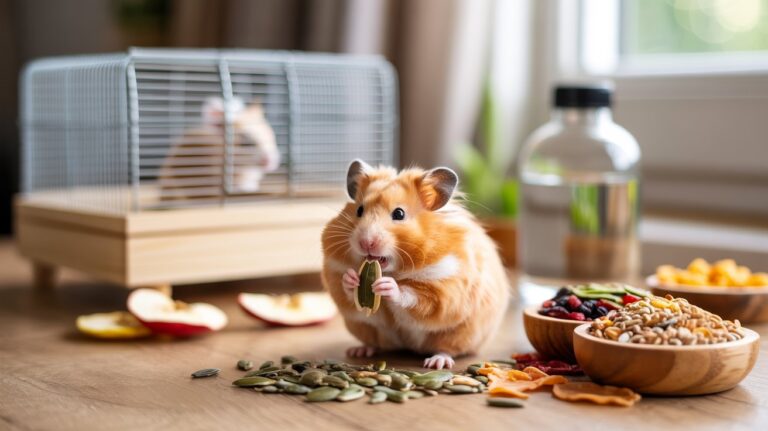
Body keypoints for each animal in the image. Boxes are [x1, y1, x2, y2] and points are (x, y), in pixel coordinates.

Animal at [321, 159, 510, 369]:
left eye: (399, 213)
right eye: (359, 210)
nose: (366, 243)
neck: (392, 271)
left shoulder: (444, 288)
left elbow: (413, 297)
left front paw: (387, 286)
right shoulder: (335, 272)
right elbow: (345, 291)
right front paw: (352, 279)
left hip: (461, 334)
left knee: (447, 349)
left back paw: (436, 362)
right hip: (366, 329)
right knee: (376, 344)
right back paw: (358, 351)